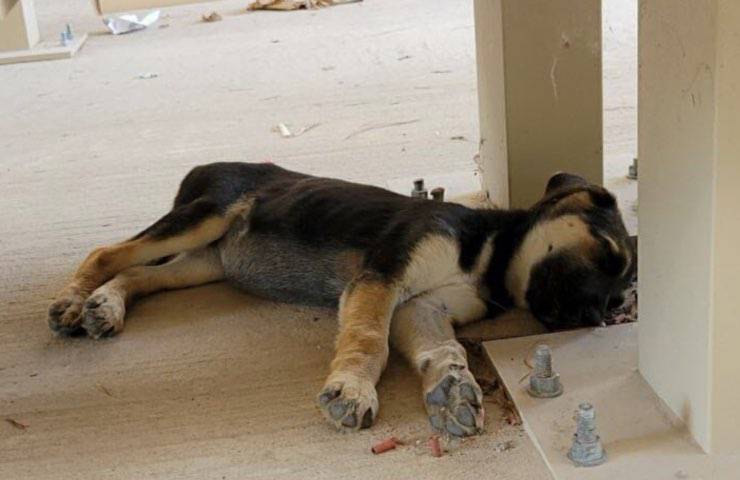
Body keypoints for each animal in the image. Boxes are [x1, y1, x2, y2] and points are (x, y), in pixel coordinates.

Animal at [47, 163, 636, 436]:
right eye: (606, 253)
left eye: (616, 303)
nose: (593, 319)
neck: (487, 256)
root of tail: (202, 168)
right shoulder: (383, 276)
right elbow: (369, 340)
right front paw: (352, 390)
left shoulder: (421, 307)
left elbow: (443, 348)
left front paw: (452, 387)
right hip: (204, 217)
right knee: (109, 252)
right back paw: (72, 302)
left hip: (206, 262)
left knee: (140, 273)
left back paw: (106, 306)